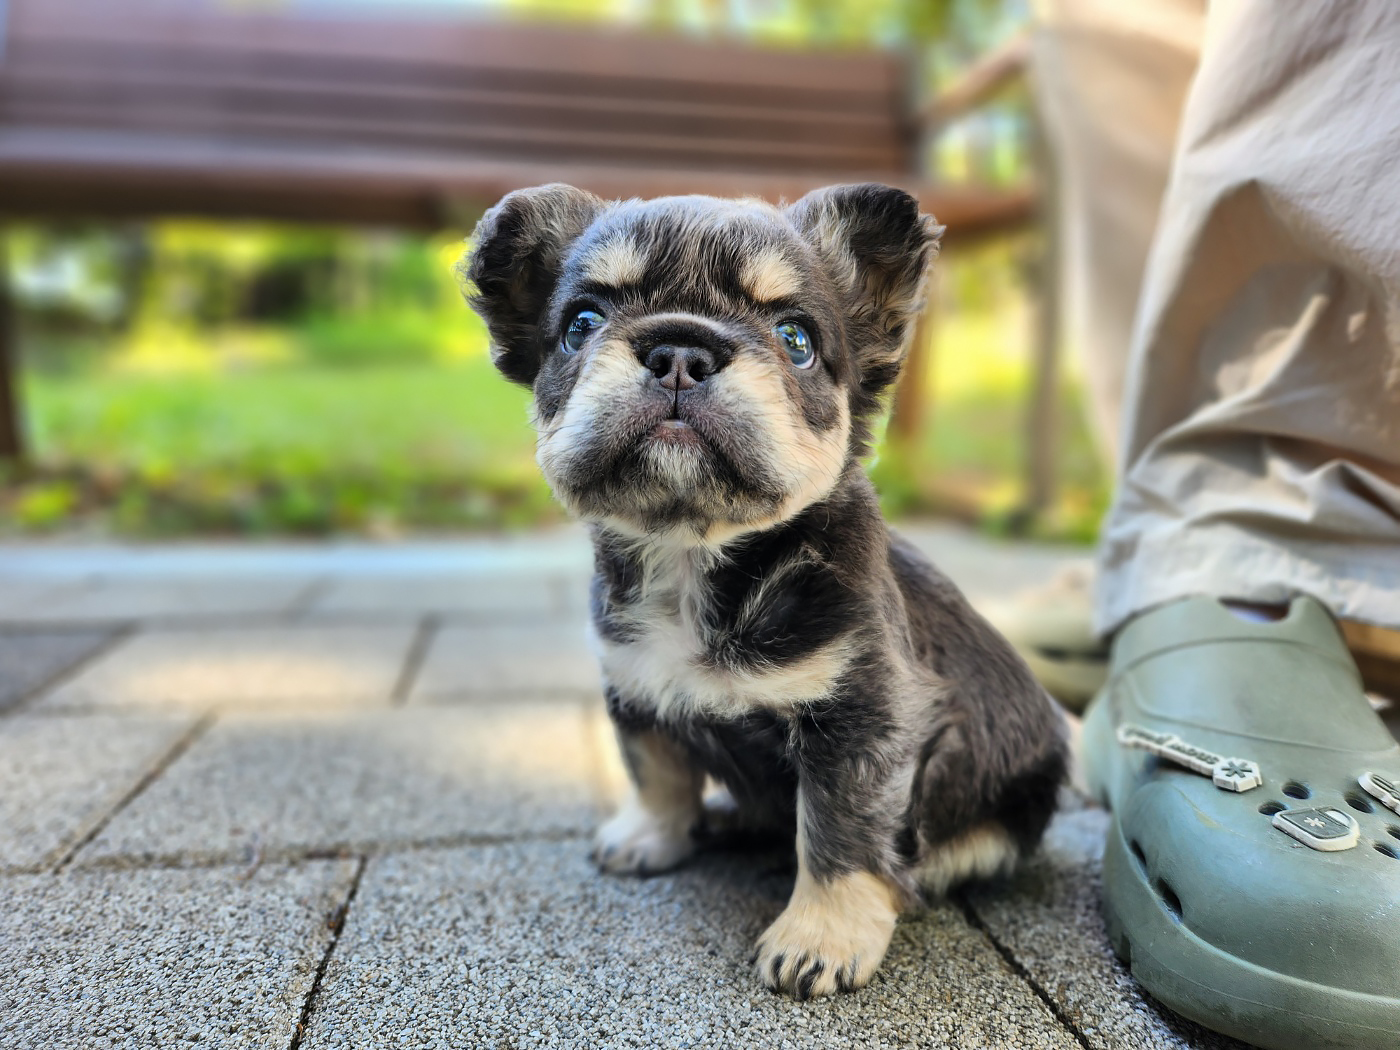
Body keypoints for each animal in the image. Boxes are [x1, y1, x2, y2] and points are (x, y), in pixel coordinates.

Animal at [463, 182, 1067, 999]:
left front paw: (822, 936)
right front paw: (651, 836)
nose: (681, 350)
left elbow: (841, 835)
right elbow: (656, 772)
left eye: (796, 338)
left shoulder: (862, 729)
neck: (695, 556)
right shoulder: (632, 690)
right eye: (581, 324)